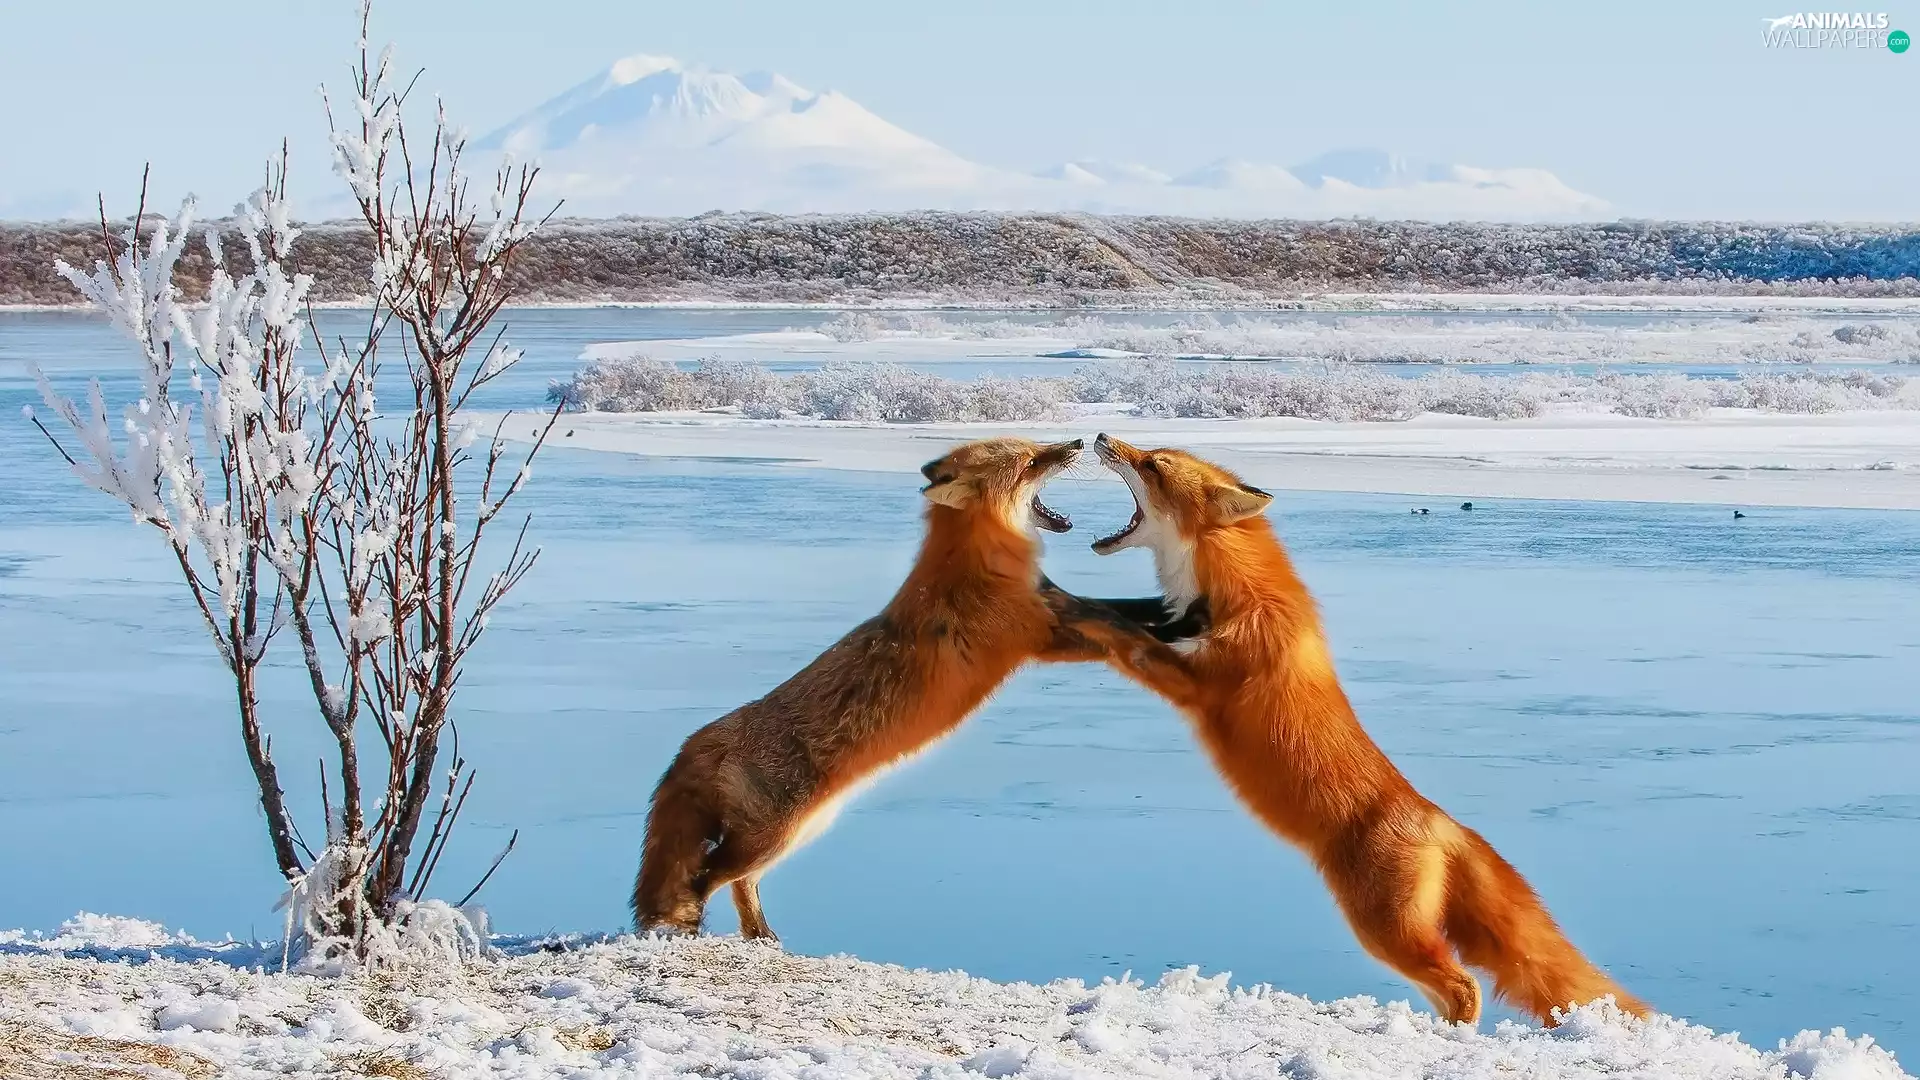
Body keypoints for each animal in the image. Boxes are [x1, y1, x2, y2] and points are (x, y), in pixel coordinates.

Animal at [633, 435, 1203, 941]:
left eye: (1037, 447)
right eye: (1031, 461)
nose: (1080, 442)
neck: (979, 560)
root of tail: (700, 741)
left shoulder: (1058, 604)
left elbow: (1130, 610)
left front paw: (1187, 616)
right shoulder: (1038, 636)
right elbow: (1120, 632)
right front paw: (1167, 643)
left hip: (794, 836)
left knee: (740, 884)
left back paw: (762, 936)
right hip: (773, 836)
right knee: (703, 876)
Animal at [1084, 432, 1649, 1027]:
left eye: (1153, 465)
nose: (1100, 436)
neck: (1229, 594)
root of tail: (1441, 822)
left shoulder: (1200, 683)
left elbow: (1124, 635)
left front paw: (1075, 619)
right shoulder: (1171, 628)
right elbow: (1122, 611)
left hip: (1383, 930)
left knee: (1465, 985)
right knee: (1449, 989)